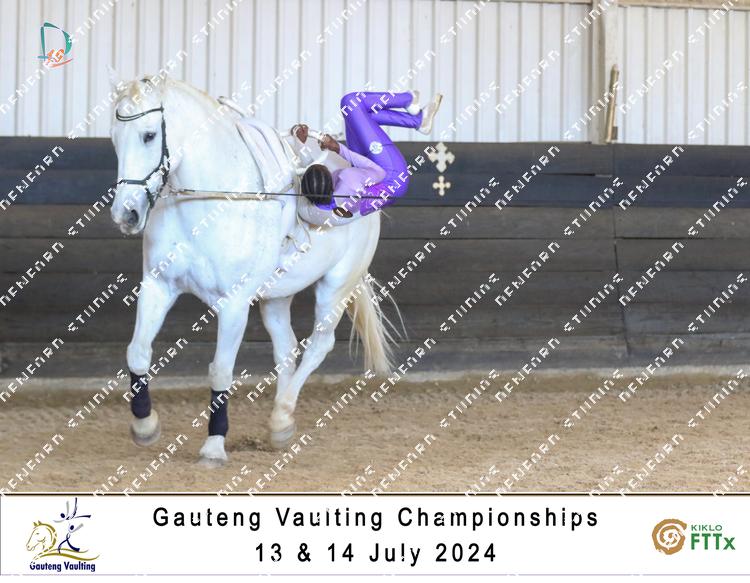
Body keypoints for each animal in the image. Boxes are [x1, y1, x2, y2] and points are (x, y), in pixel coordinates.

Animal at [108, 71, 395, 466]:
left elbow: (221, 369)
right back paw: (280, 428)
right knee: (287, 348)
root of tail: (367, 188)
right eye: (114, 139)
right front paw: (145, 426)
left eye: (149, 135)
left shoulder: (233, 303)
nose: (126, 214)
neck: (211, 198)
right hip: (277, 297)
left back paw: (282, 417)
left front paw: (214, 446)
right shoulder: (158, 284)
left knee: (319, 345)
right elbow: (137, 351)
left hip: (336, 288)